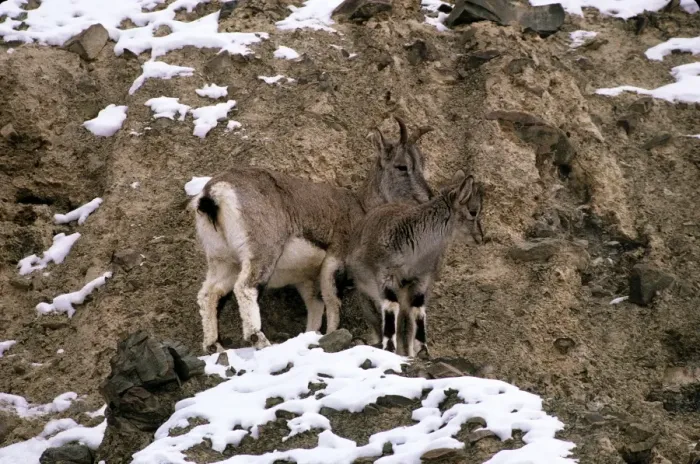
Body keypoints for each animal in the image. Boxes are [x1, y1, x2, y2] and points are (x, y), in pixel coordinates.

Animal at [191, 117, 435, 353]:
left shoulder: (307, 280)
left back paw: (213, 345)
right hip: (261, 251)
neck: (362, 209)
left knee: (209, 294)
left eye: (422, 165)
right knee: (245, 288)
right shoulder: (335, 260)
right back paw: (259, 339)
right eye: (401, 166)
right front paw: (334, 333)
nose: (427, 198)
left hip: (223, 259)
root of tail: (212, 195)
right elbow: (333, 301)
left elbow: (316, 308)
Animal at [345, 170, 484, 357]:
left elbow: (418, 312)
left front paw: (424, 351)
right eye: (473, 211)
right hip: (366, 295)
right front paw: (389, 347)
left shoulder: (421, 280)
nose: (481, 237)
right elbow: (391, 307)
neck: (415, 249)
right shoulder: (386, 275)